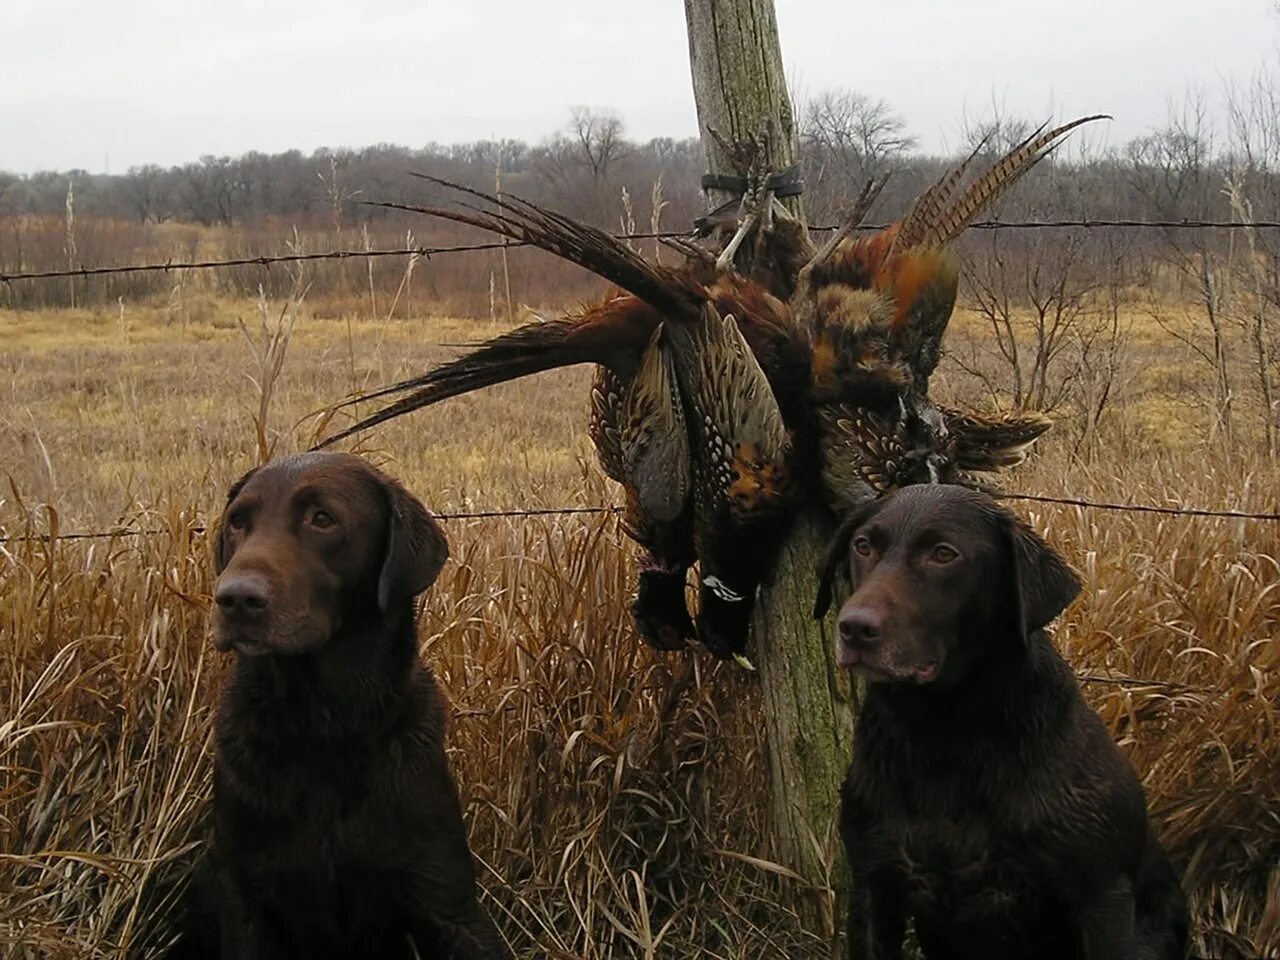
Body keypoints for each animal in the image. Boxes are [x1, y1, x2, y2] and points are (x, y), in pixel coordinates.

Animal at [175, 453, 504, 960]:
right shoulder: (243, 894)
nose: (235, 599)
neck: (324, 726)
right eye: (237, 522)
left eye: (322, 519)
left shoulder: (447, 899)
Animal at [819, 488, 1187, 960]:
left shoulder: (1102, 898)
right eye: (863, 545)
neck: (943, 735)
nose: (854, 628)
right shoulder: (873, 887)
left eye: (943, 553)